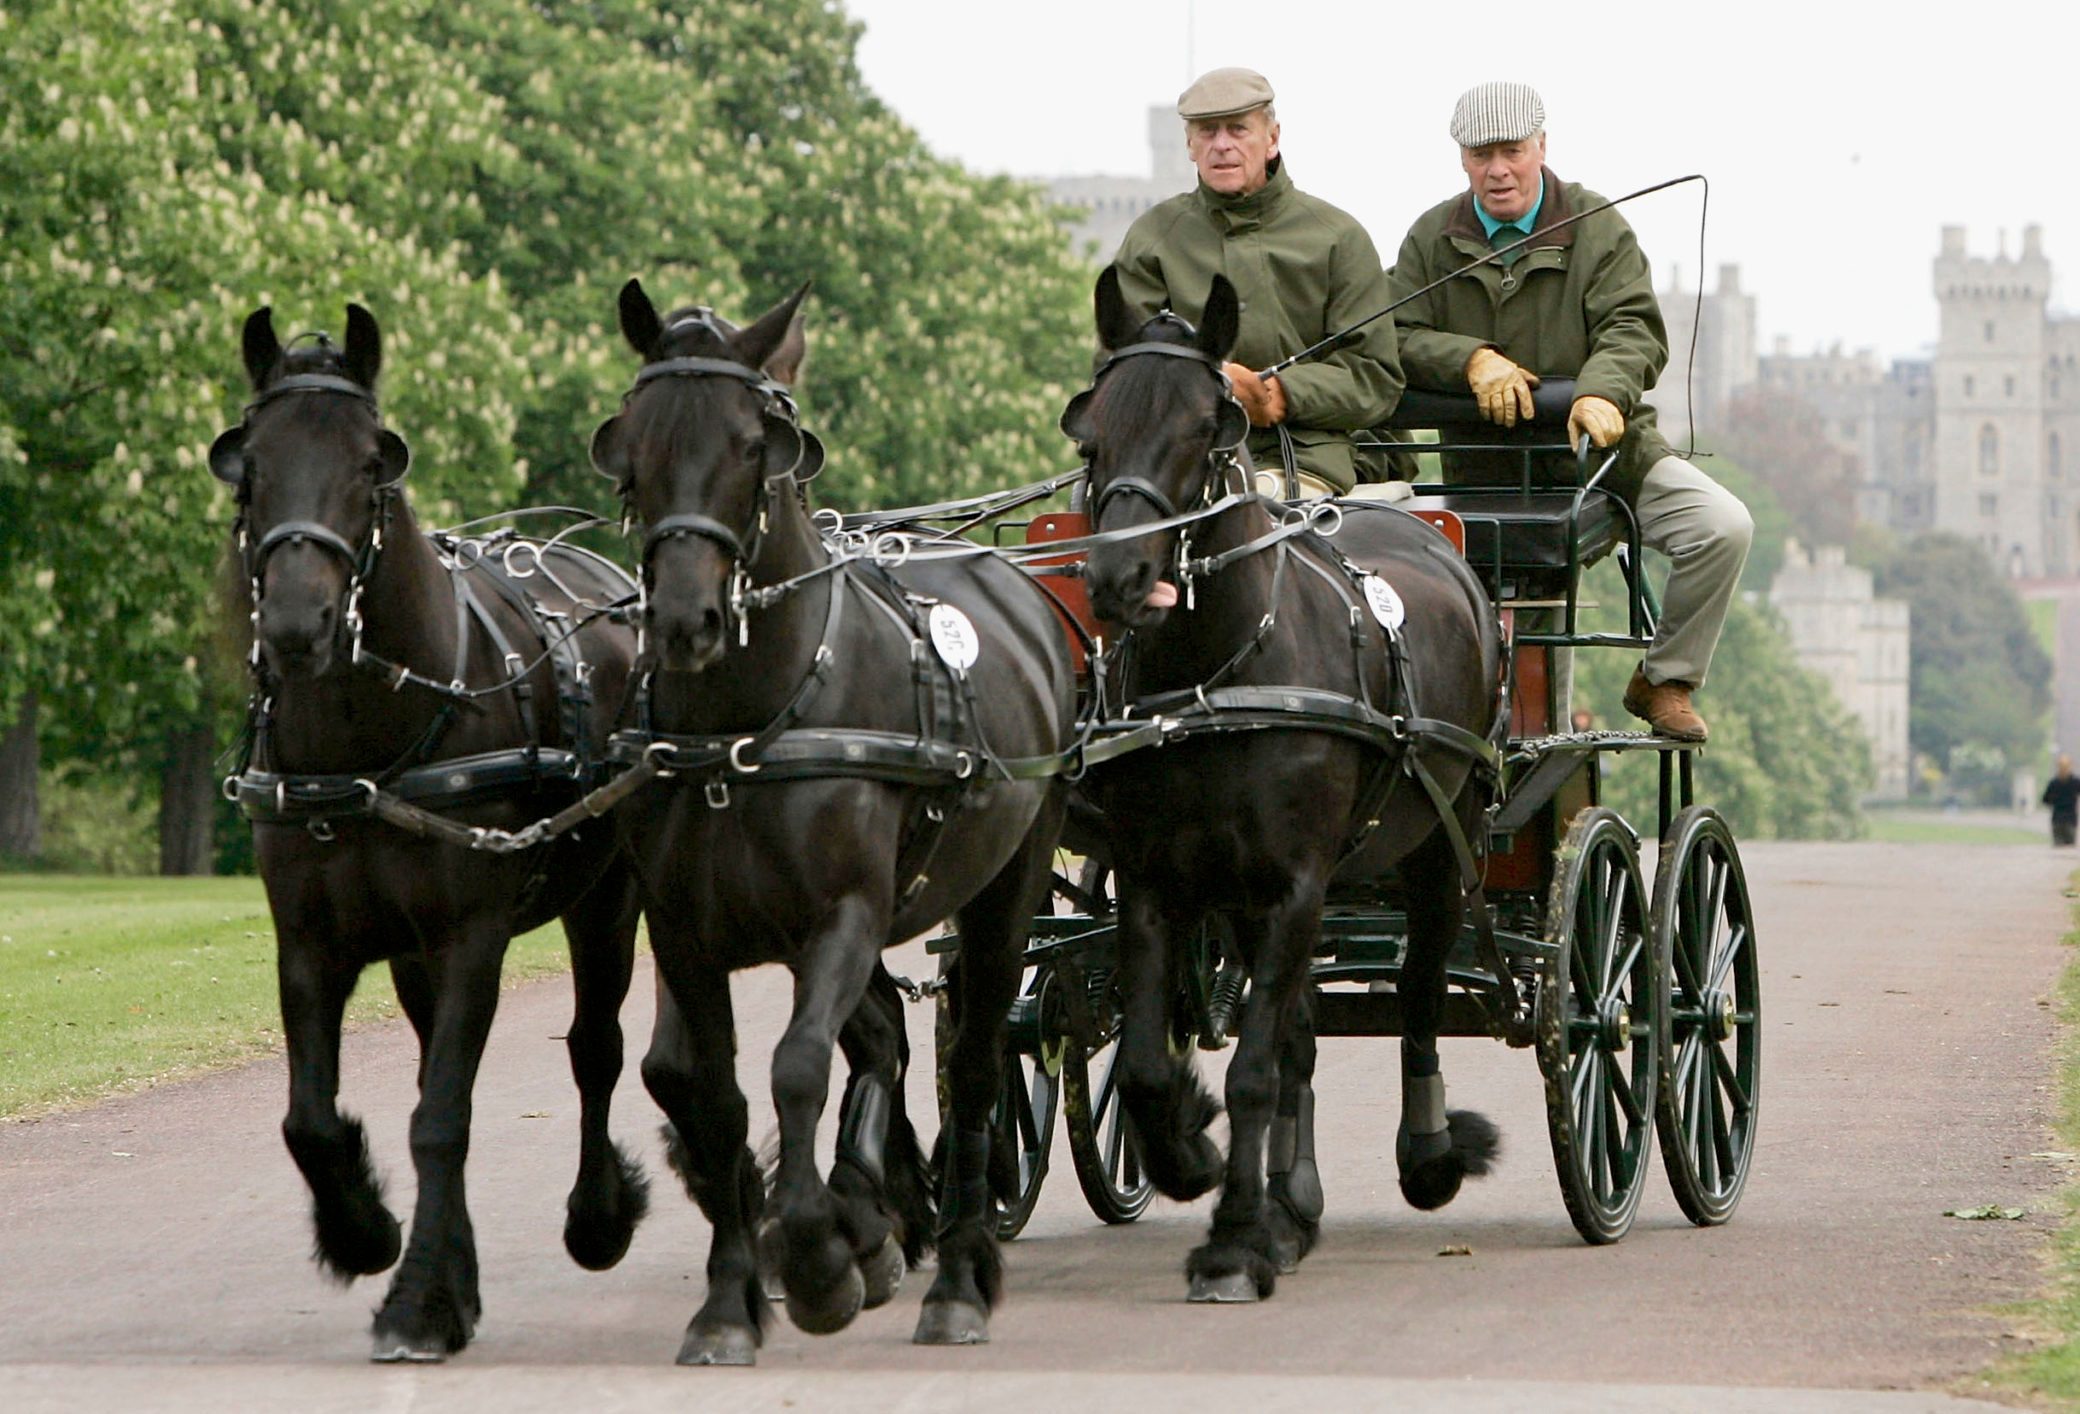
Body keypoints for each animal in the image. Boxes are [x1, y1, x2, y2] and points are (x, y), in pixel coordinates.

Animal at [211, 305, 648, 1355]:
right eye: (249, 464)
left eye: (374, 461)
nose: (298, 624)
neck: (369, 742)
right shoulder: (311, 941)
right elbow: (311, 1118)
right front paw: (367, 1232)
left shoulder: (469, 937)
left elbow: (441, 1116)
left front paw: (416, 1300)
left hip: (608, 896)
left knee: (595, 1047)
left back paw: (597, 1215)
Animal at [586, 278, 1073, 1355]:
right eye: (629, 442)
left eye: (751, 443)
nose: (684, 619)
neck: (745, 727)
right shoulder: (682, 931)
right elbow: (712, 1091)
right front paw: (734, 1296)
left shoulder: (842, 916)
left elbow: (800, 1065)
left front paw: (814, 1257)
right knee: (885, 1037)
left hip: (1006, 887)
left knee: (976, 1059)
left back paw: (954, 1274)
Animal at [1064, 270, 1505, 1305]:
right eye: (1090, 430)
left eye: (1206, 427)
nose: (1118, 575)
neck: (1219, 672)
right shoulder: (1158, 882)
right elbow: (1148, 1063)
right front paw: (1193, 1156)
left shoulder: (1294, 885)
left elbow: (1257, 1070)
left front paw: (1232, 1242)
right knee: (1300, 1026)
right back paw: (1291, 1204)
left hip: (1440, 845)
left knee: (1418, 990)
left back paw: (1427, 1154)